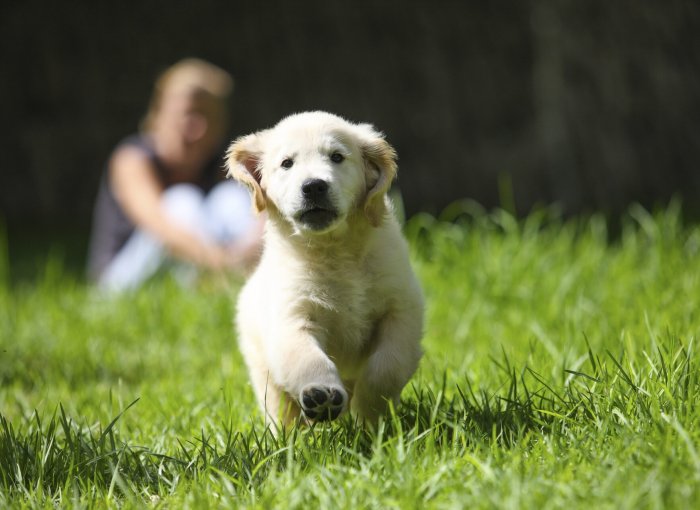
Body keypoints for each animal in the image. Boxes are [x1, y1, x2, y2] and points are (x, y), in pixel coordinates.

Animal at [227, 111, 424, 426]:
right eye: (287, 163)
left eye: (337, 157)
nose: (314, 186)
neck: (334, 250)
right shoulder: (291, 318)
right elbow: (306, 358)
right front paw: (322, 395)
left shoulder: (400, 309)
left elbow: (387, 367)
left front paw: (369, 413)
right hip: (261, 369)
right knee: (281, 410)